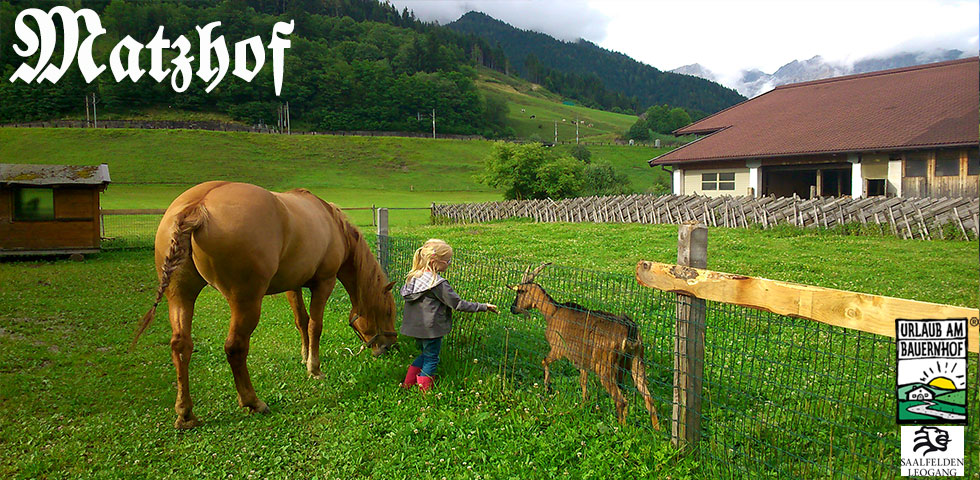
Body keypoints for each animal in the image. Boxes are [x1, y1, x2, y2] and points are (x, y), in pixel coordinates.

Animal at [132, 182, 396, 430]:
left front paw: (304, 357)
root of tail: (197, 206)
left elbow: (301, 321)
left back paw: (186, 413)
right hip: (246, 301)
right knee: (235, 348)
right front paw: (314, 368)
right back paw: (253, 402)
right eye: (388, 312)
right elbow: (315, 325)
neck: (331, 223)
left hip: (181, 296)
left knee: (181, 346)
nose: (389, 347)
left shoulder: (293, 285)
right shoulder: (324, 283)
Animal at [510, 264, 664, 430]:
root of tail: (630, 331)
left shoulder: (559, 349)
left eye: (519, 292)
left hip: (605, 366)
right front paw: (584, 404)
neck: (553, 312)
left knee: (621, 401)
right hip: (636, 361)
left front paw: (547, 387)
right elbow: (583, 381)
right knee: (649, 399)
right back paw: (656, 430)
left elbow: (545, 361)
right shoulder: (582, 359)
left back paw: (620, 429)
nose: (512, 308)